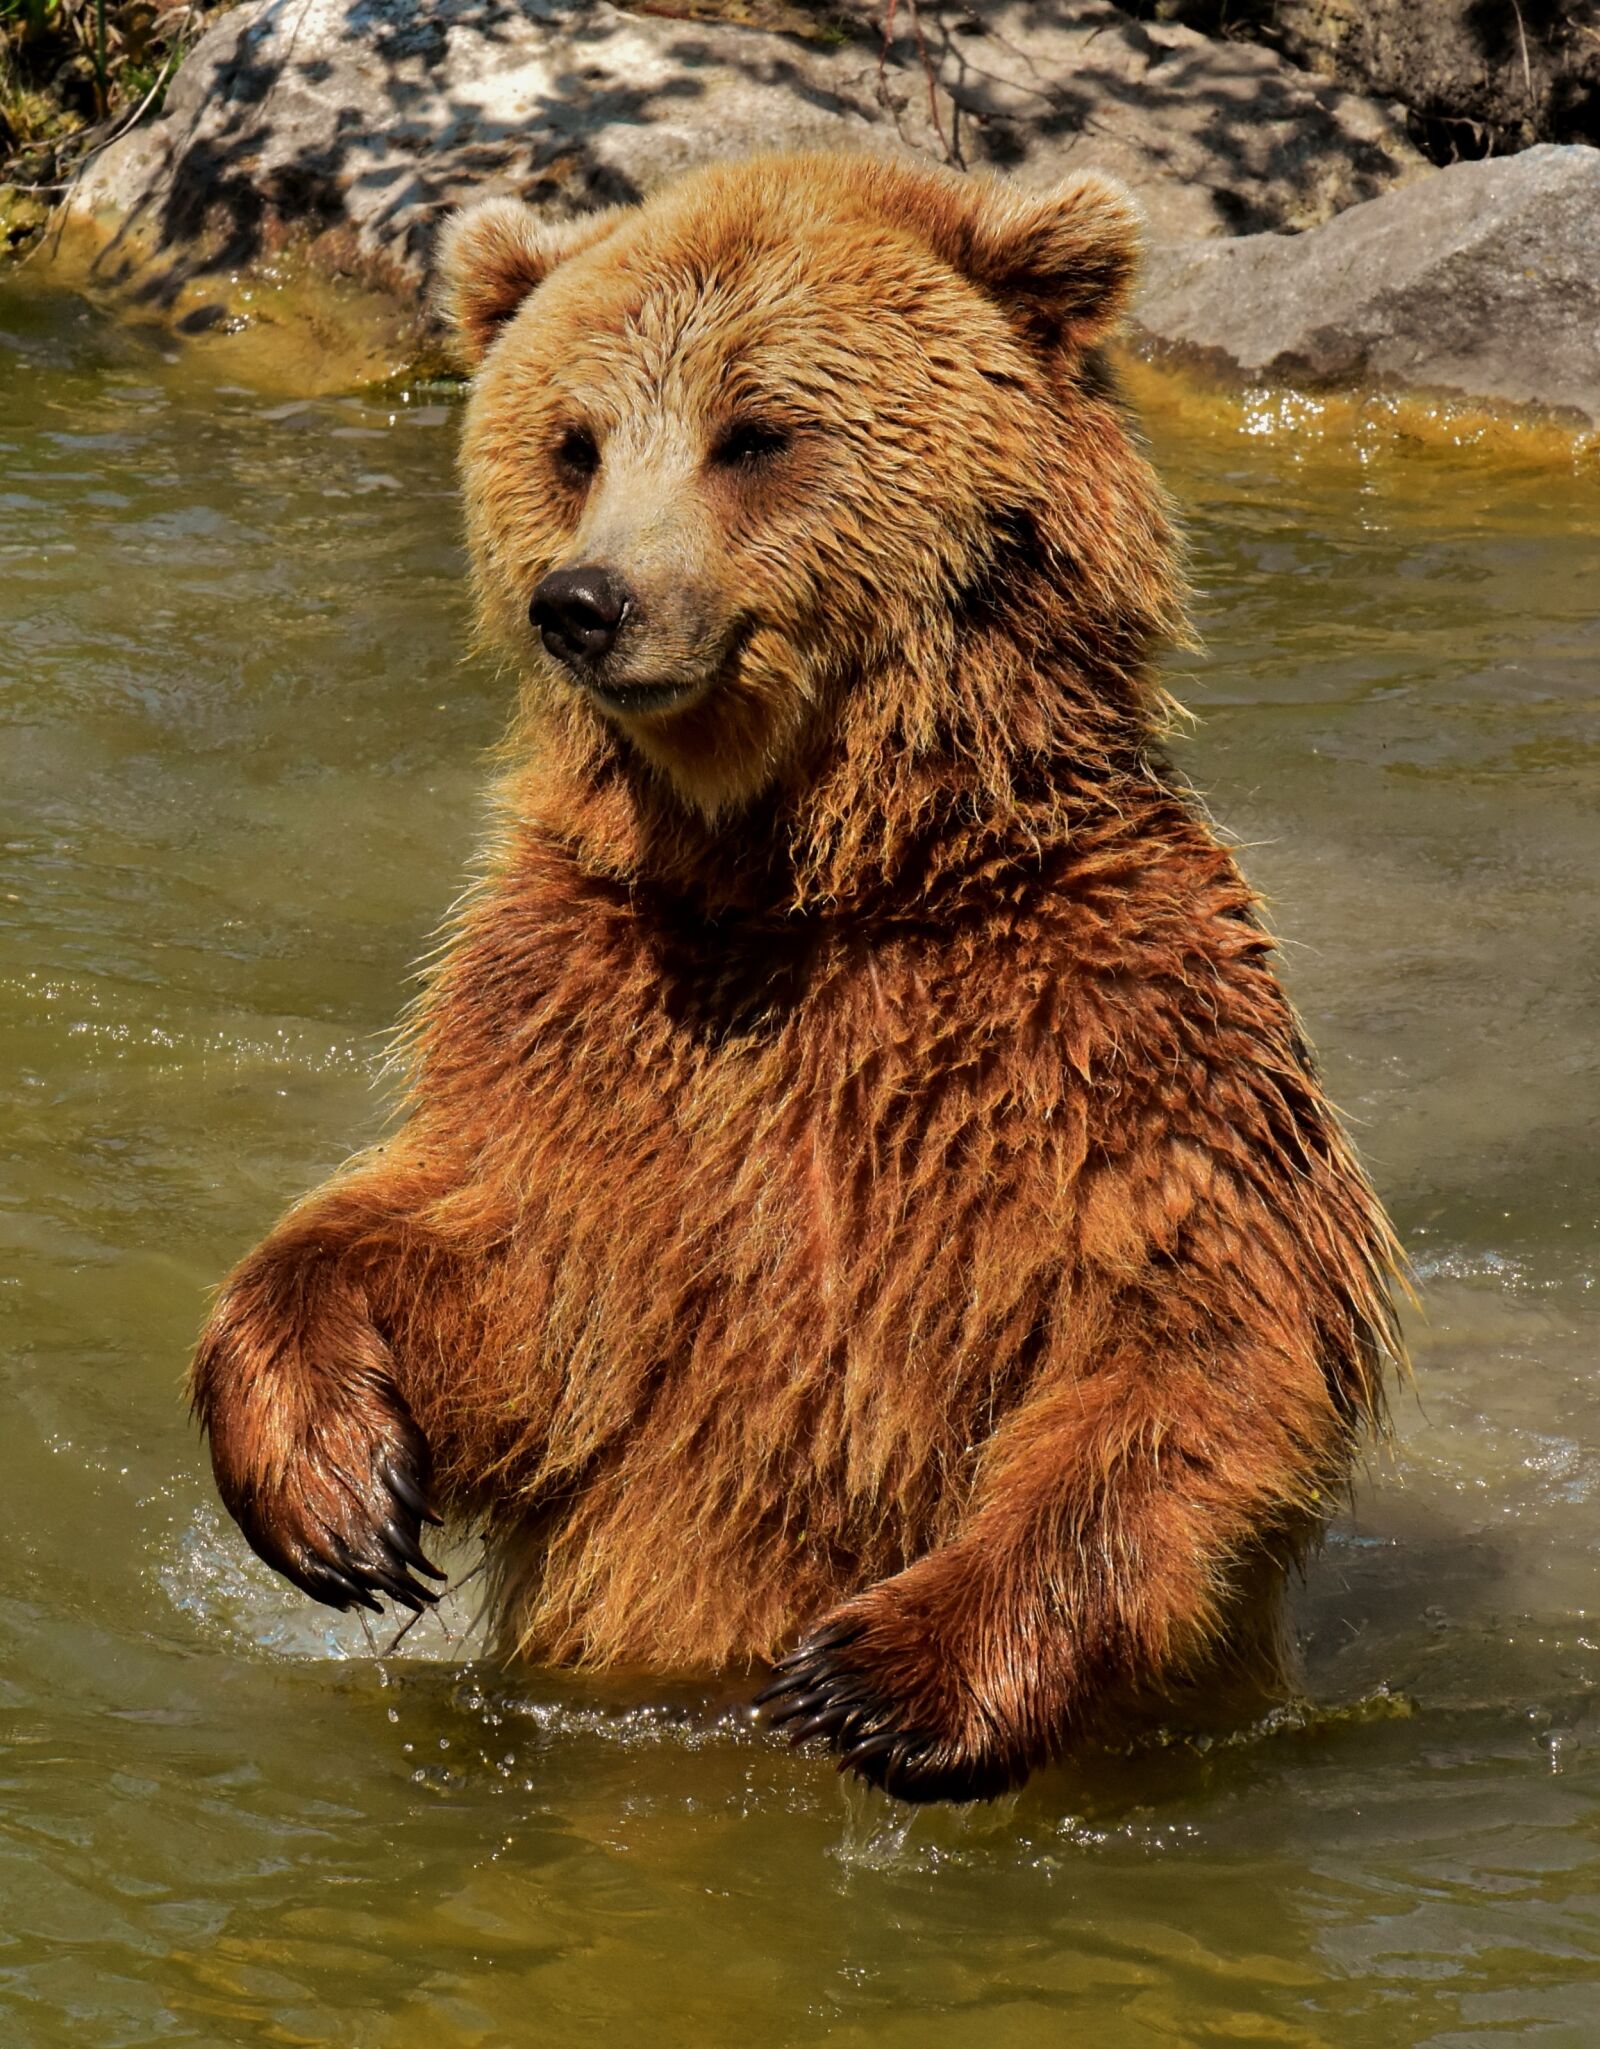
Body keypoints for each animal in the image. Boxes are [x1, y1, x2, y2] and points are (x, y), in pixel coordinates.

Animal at [189, 151, 1403, 1805]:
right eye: (572, 442)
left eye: (754, 432)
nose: (585, 601)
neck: (809, 883)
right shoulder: (590, 1009)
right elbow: (500, 1263)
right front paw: (335, 1492)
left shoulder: (1104, 1022)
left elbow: (1190, 1332)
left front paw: (881, 1682)